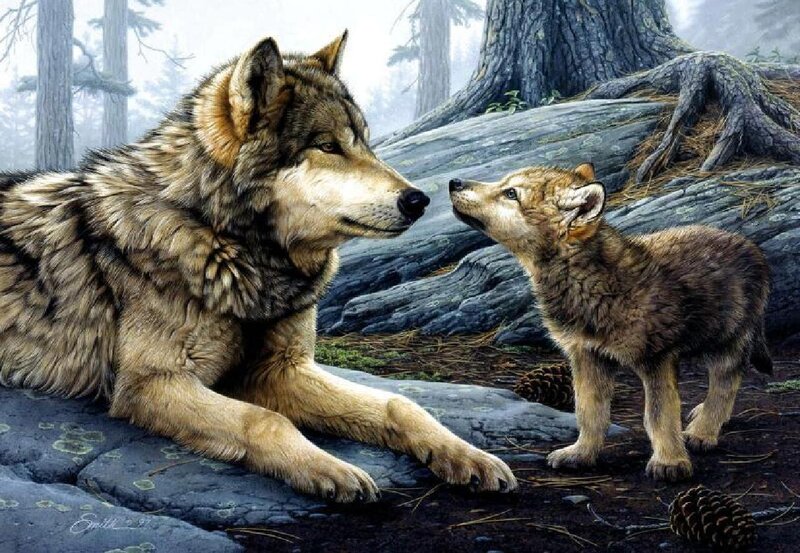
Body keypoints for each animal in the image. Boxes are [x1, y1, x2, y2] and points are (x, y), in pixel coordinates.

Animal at [0, 32, 516, 501]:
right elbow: (265, 419)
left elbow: (398, 404)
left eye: (366, 144)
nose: (419, 199)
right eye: (327, 146)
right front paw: (331, 470)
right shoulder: (150, 384)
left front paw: (467, 456)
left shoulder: (280, 370)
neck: (228, 244)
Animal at [449, 163, 772, 482]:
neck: (593, 281)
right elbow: (589, 413)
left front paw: (670, 462)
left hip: (727, 341)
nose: (454, 182)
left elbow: (659, 416)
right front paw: (580, 454)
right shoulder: (585, 355)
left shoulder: (656, 359)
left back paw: (703, 432)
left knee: (726, 384)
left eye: (511, 193)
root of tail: (749, 245)